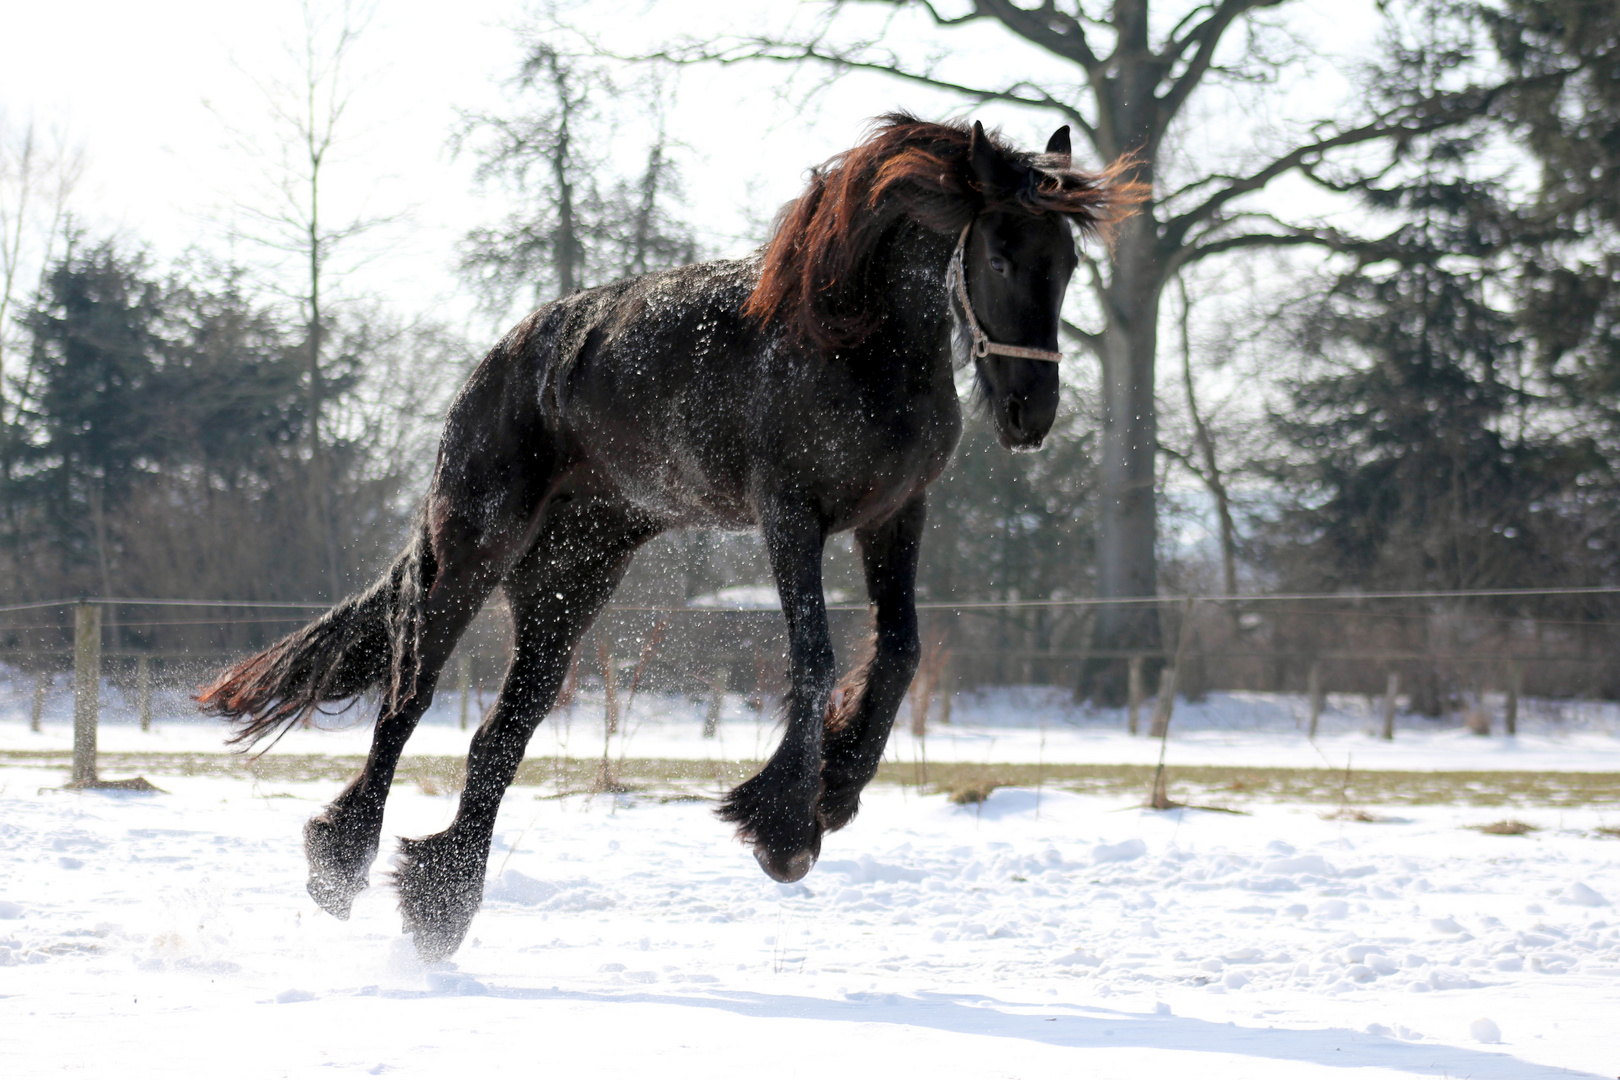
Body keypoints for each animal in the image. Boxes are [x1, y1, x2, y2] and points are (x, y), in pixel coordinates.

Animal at [199, 116, 1140, 965]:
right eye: (1001, 254)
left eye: (1067, 263)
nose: (1029, 413)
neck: (857, 336)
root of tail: (497, 364)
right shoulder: (790, 514)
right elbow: (817, 659)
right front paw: (786, 829)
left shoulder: (894, 517)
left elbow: (900, 652)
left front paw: (837, 789)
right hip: (476, 550)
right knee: (408, 699)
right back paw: (341, 867)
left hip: (573, 581)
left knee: (498, 736)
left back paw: (439, 905)